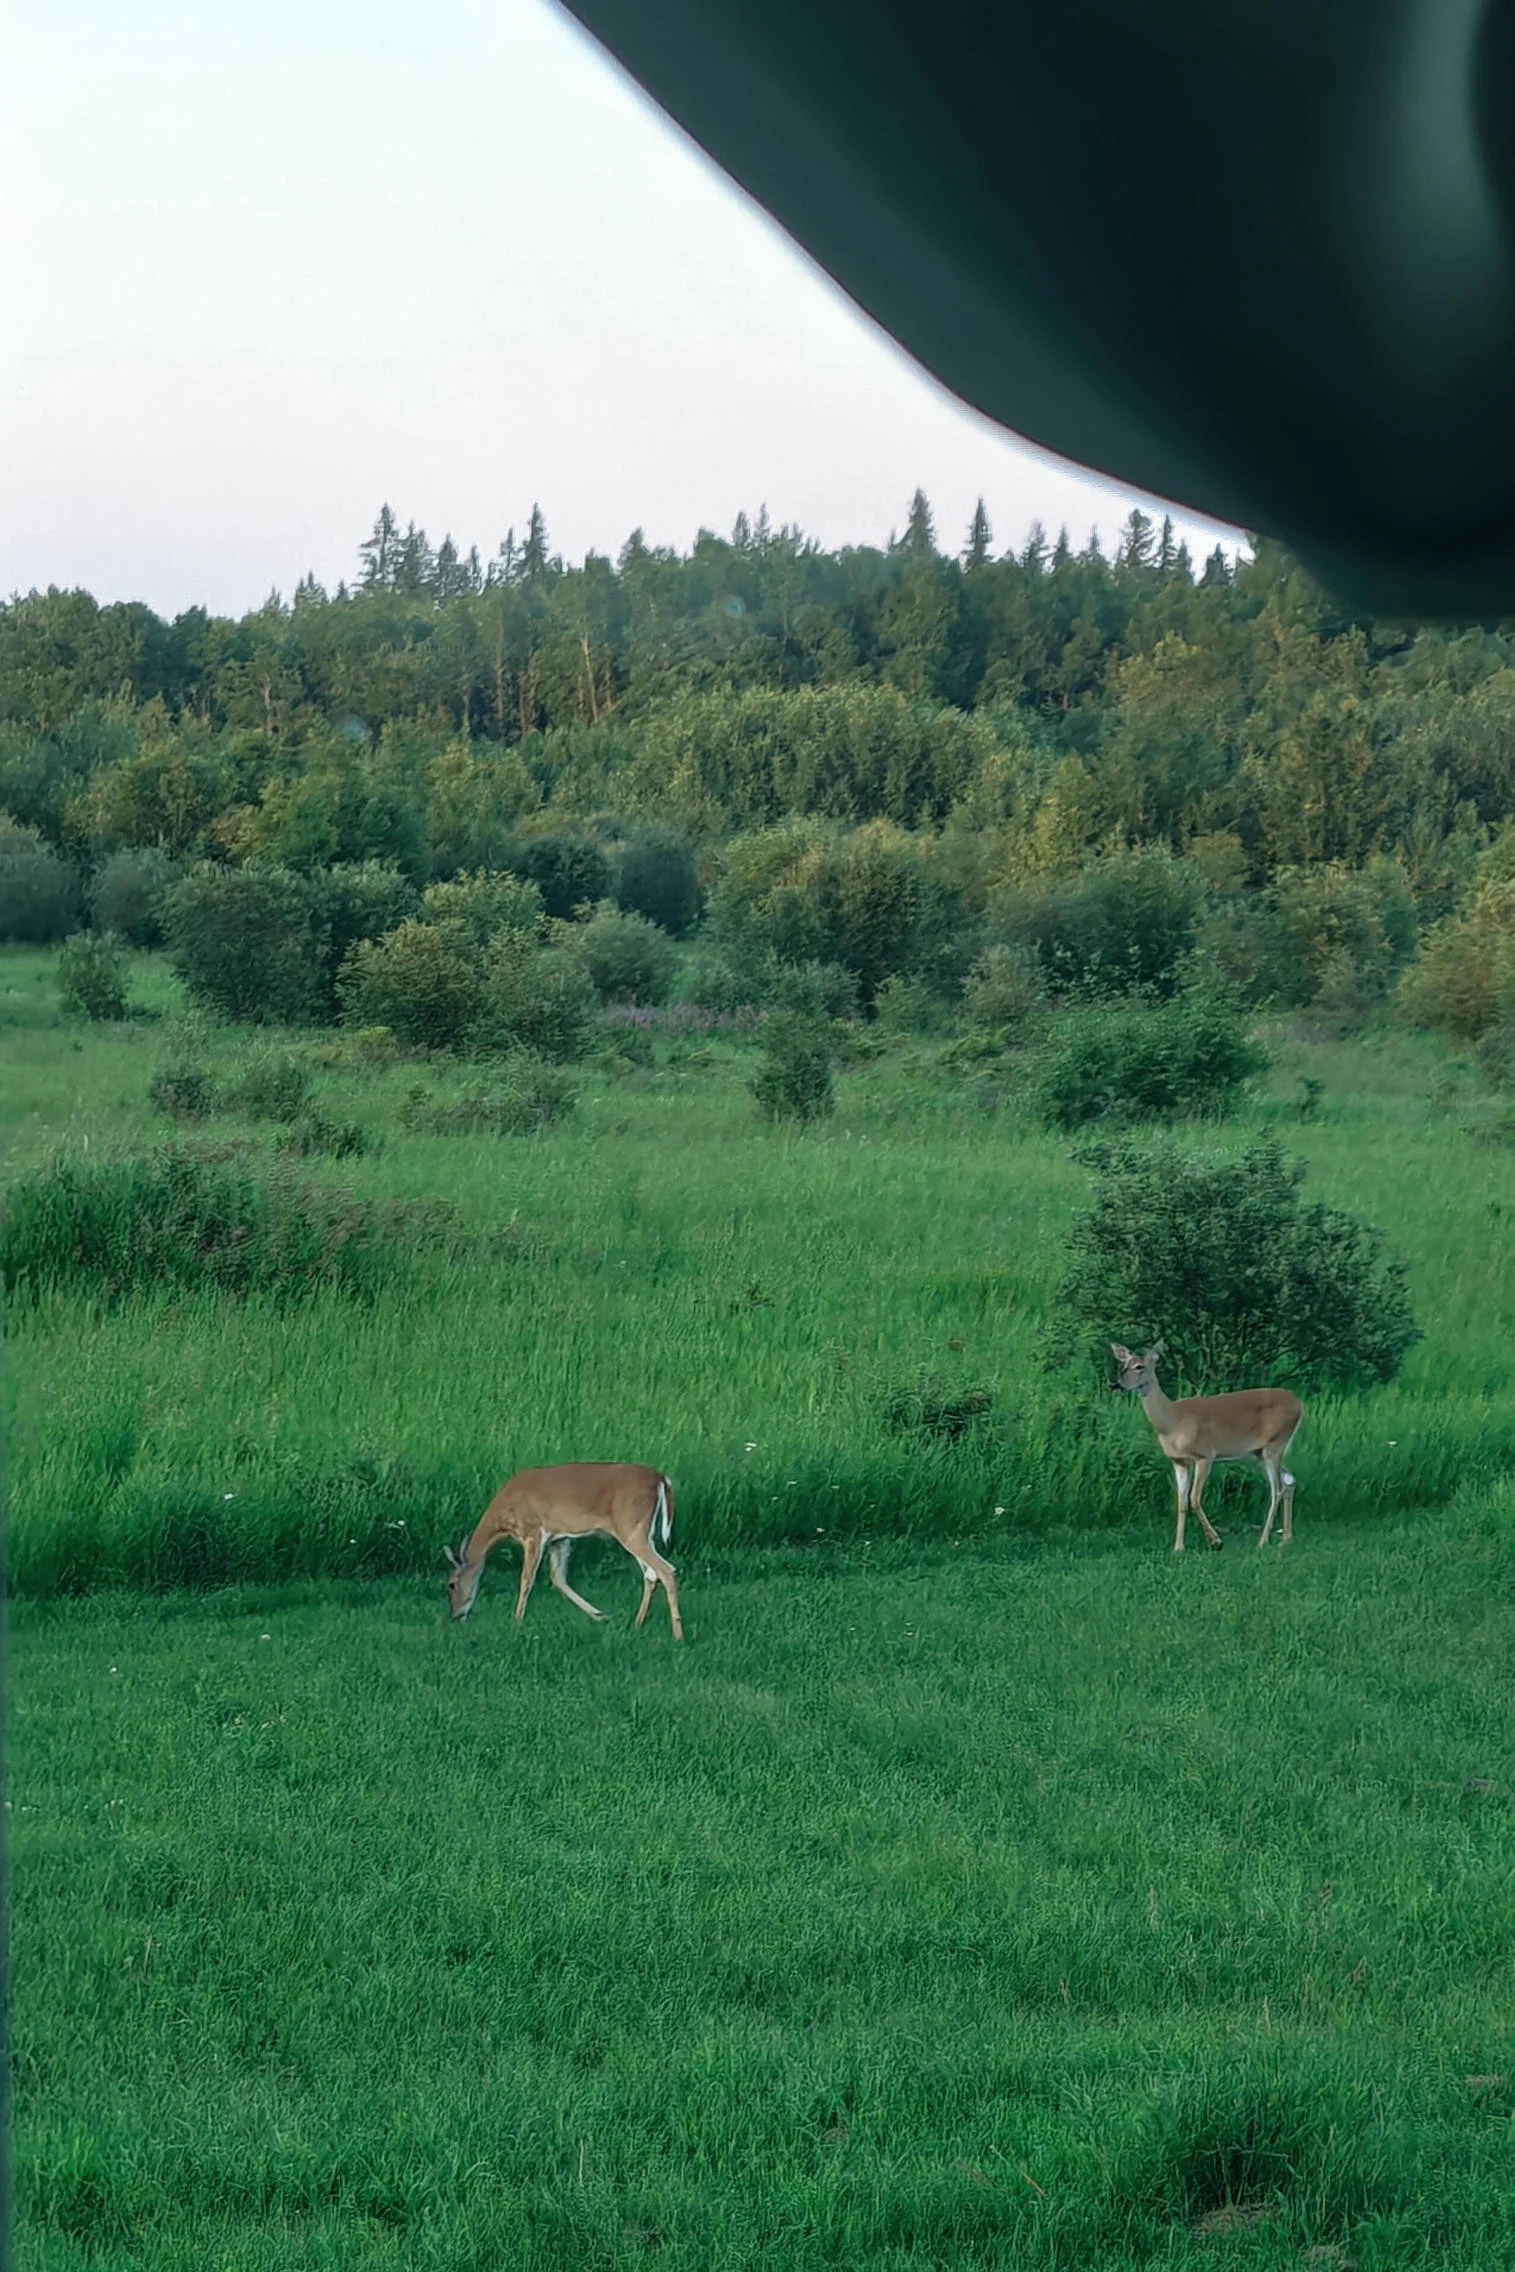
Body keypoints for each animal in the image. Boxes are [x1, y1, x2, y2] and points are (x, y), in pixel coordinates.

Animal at [443, 1462, 683, 1638]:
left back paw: (677, 1635)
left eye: (451, 1584)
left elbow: (526, 1580)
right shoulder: (560, 1538)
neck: (502, 1521)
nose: (455, 1616)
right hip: (640, 1531)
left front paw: (517, 1622)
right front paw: (600, 1615)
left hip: (631, 1527)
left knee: (665, 1570)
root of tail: (661, 1479)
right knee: (651, 1573)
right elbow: (558, 1579)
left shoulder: (533, 1532)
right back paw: (637, 1624)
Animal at [1110, 1342, 1302, 1553]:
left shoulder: (1205, 1455)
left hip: (1275, 1444)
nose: (1116, 1384)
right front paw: (1178, 1547)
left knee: (1277, 1489)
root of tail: (1299, 1405)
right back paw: (1286, 1539)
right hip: (1259, 1453)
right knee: (1289, 1481)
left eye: (1139, 1367)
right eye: (1123, 1365)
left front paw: (1216, 1542)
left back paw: (1262, 1542)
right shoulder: (1179, 1461)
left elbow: (1194, 1499)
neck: (1172, 1421)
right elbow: (1181, 1502)